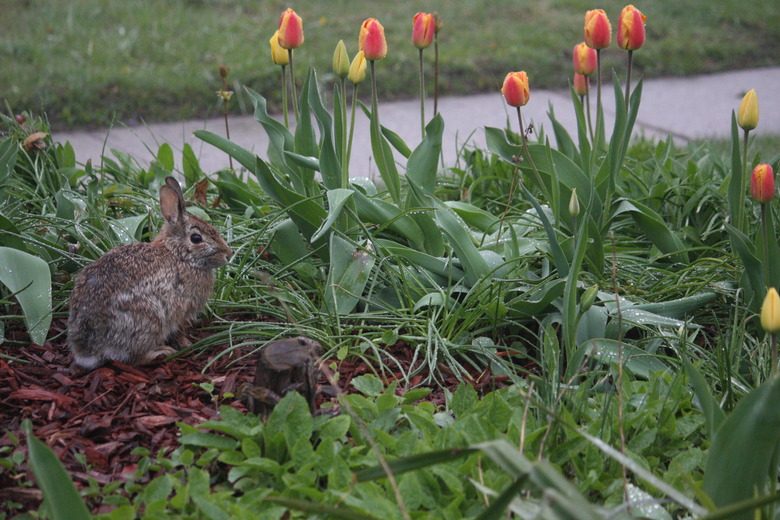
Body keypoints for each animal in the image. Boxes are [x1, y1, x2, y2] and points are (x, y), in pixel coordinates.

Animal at [67, 177, 233, 372]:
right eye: (196, 239)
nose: (228, 254)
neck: (178, 254)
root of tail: (87, 353)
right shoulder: (180, 311)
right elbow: (178, 331)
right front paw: (186, 344)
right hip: (149, 321)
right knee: (132, 359)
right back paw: (160, 352)